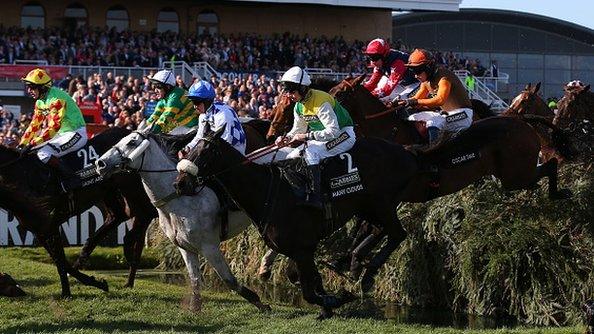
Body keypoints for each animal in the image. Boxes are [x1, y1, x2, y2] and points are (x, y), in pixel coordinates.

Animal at [0, 127, 155, 294]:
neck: (21, 174)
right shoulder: (39, 228)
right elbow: (61, 262)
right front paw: (91, 283)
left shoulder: (50, 222)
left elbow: (61, 262)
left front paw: (67, 292)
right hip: (109, 191)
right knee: (118, 215)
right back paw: (89, 253)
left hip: (133, 187)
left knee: (146, 213)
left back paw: (127, 248)